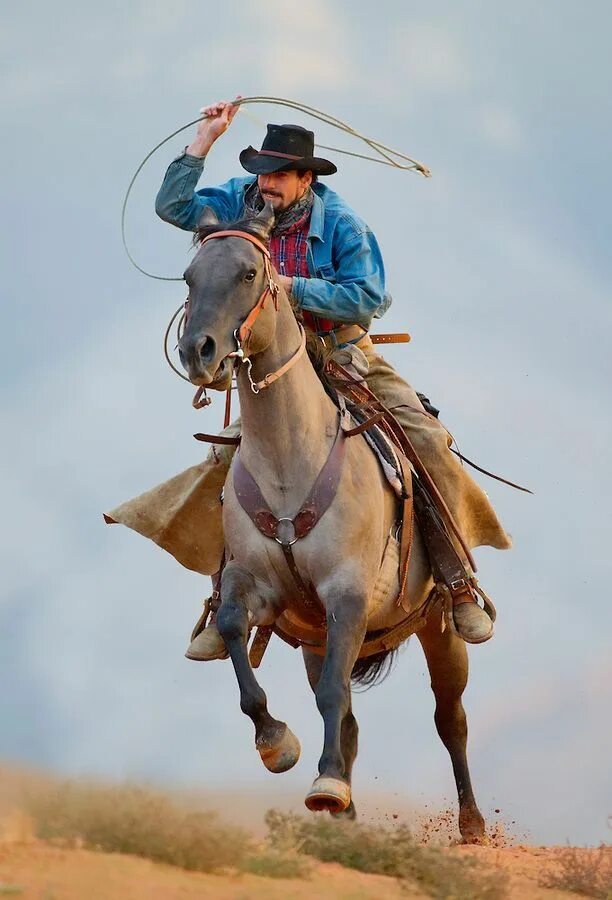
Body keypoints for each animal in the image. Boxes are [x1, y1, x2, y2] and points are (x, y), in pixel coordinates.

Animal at [178, 200, 488, 840]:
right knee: (350, 717)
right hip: (316, 640)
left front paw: (322, 784)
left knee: (451, 718)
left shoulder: (347, 593)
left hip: (438, 628)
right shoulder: (254, 586)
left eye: (249, 273)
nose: (198, 351)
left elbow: (332, 696)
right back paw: (343, 816)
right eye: (190, 278)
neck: (290, 460)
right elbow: (236, 638)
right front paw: (280, 747)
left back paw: (471, 824)